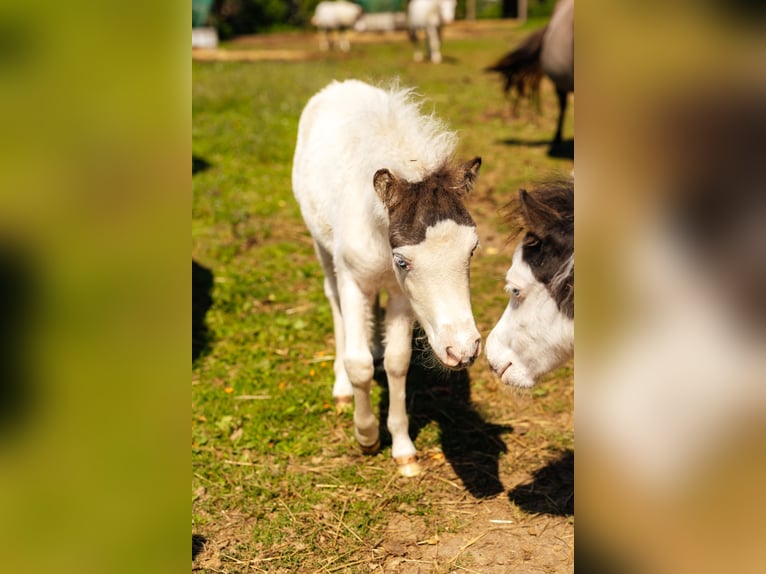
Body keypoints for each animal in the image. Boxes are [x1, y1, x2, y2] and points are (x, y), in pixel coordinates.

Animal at [292, 79, 482, 476]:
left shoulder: (401, 295)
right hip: (322, 246)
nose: (463, 350)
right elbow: (359, 363)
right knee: (333, 301)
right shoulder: (353, 279)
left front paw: (404, 449)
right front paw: (366, 435)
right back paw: (341, 386)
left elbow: (398, 361)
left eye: (472, 249)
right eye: (403, 260)